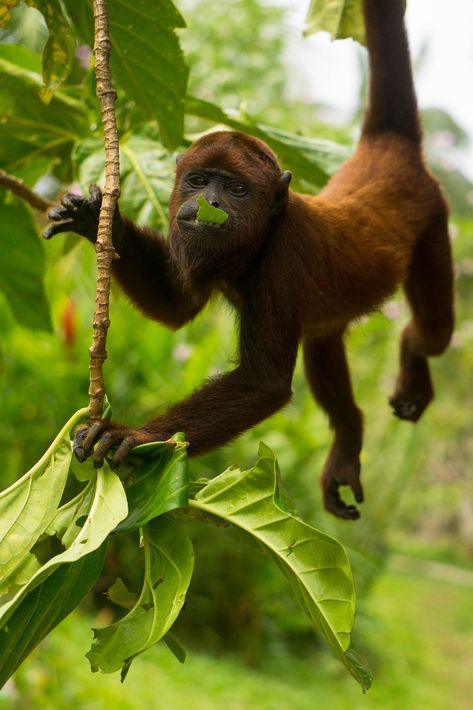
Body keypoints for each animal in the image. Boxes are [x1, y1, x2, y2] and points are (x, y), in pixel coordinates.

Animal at [44, 0, 454, 524]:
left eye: (237, 189)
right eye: (199, 180)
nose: (209, 204)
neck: (256, 241)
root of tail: (386, 154)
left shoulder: (283, 256)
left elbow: (263, 384)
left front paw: (132, 436)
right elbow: (176, 309)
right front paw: (96, 218)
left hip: (435, 226)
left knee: (433, 333)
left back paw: (411, 353)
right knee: (322, 344)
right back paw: (347, 438)